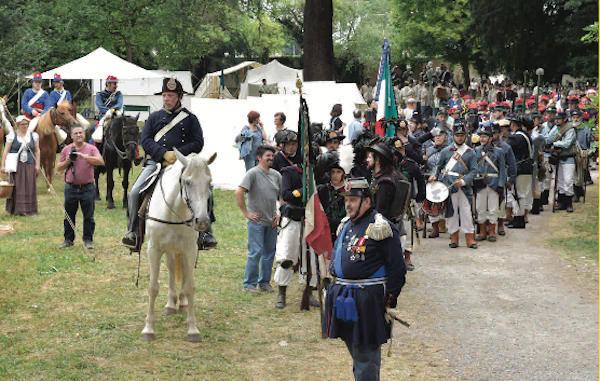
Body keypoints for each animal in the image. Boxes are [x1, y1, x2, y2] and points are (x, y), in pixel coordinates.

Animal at [140, 148, 216, 342]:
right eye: (187, 182)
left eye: (209, 183)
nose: (202, 222)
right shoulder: (154, 250)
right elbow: (153, 287)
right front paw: (148, 329)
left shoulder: (190, 250)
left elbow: (190, 287)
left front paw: (193, 329)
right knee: (171, 267)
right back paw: (170, 304)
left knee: (179, 267)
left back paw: (180, 302)